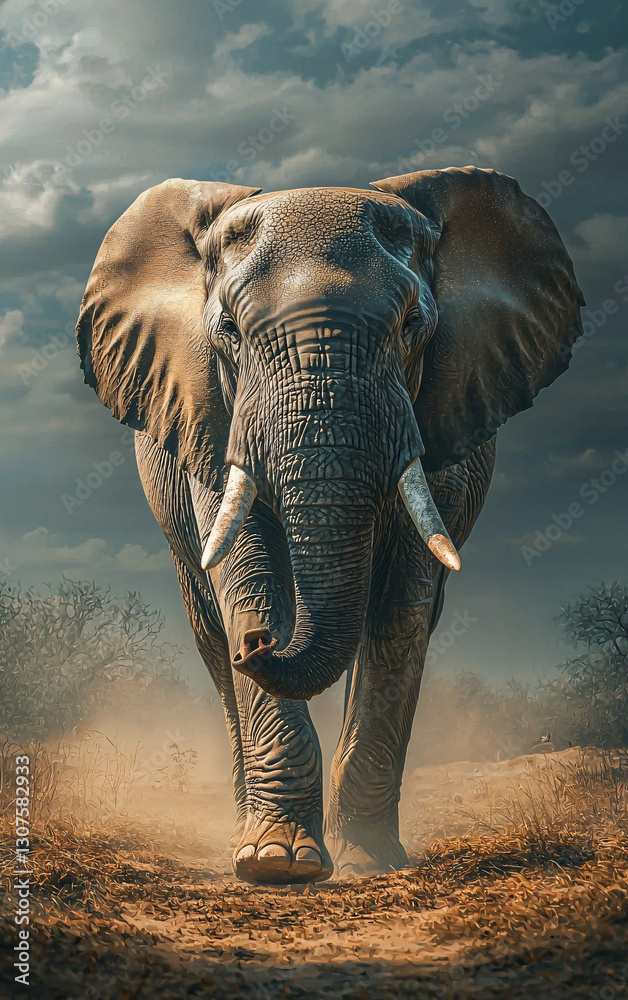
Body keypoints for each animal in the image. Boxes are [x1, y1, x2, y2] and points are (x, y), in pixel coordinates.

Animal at [76, 166, 584, 884]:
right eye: (228, 330)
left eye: (412, 325)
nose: (259, 644)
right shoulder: (211, 412)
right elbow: (245, 569)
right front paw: (274, 863)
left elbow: (401, 604)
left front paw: (368, 861)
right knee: (211, 633)